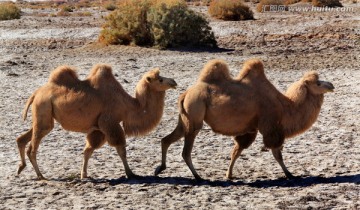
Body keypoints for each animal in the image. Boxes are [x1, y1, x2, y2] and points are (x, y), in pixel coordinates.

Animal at [16, 63, 177, 179]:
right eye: (160, 79)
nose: (174, 81)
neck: (129, 105)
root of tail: (36, 93)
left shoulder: (98, 128)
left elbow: (88, 150)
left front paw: (84, 174)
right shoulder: (109, 122)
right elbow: (121, 149)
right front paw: (131, 173)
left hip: (44, 116)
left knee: (23, 138)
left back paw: (21, 167)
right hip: (43, 108)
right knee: (33, 148)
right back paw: (40, 175)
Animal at [155, 58, 334, 180]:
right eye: (318, 83)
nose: (331, 85)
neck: (284, 106)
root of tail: (185, 93)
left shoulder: (251, 129)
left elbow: (237, 151)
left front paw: (229, 174)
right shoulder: (270, 126)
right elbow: (277, 153)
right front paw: (290, 174)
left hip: (185, 119)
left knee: (166, 139)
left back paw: (160, 168)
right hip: (195, 115)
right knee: (186, 150)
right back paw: (198, 177)